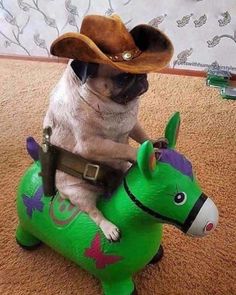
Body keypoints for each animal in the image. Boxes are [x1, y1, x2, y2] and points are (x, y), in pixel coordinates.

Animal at [43, 60, 152, 243]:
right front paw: (139, 154)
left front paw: (156, 143)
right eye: (123, 78)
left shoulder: (132, 124)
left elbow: (142, 136)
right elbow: (122, 148)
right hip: (79, 194)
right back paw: (109, 228)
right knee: (94, 213)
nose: (142, 76)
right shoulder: (92, 145)